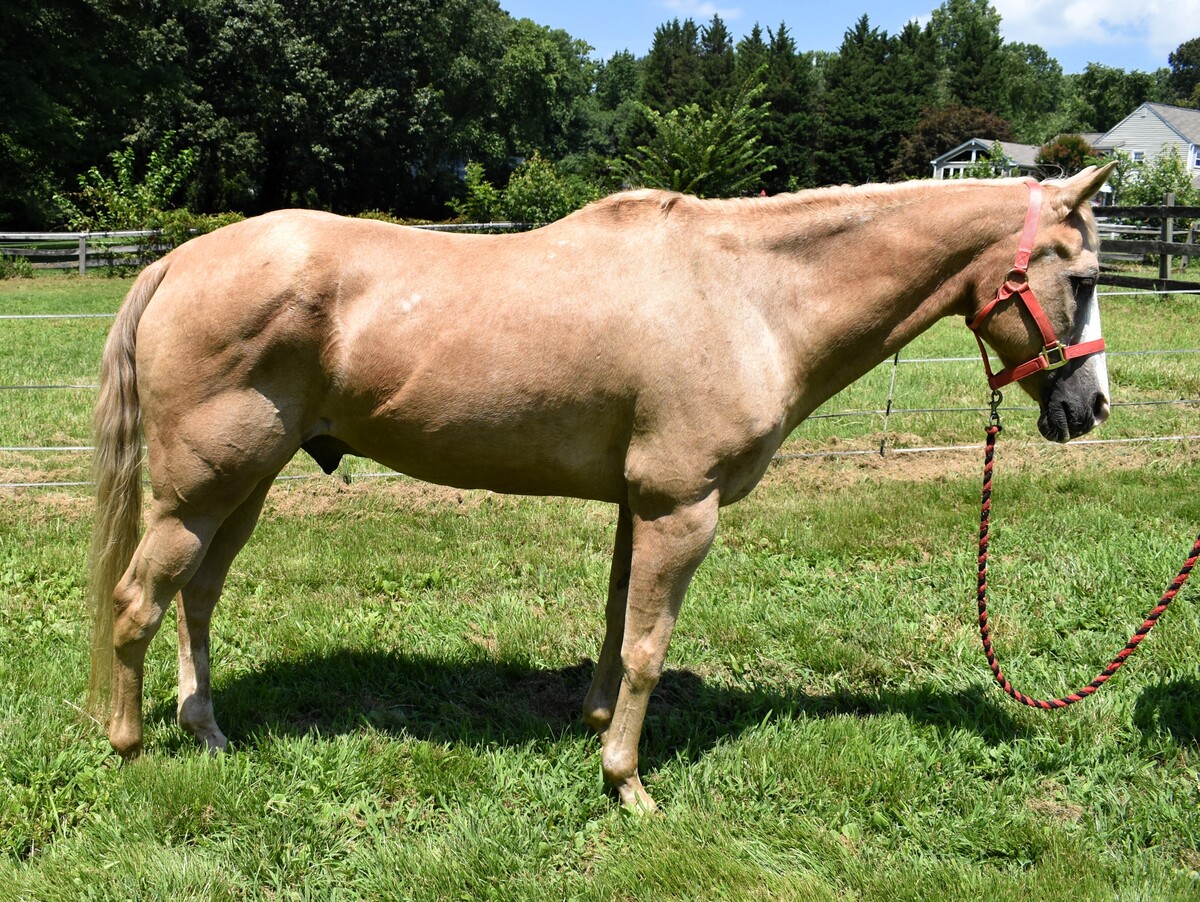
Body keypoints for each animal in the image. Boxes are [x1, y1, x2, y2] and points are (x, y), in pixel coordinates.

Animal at [87, 163, 1116, 812]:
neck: (749, 296)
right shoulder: (681, 508)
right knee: (140, 601)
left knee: (197, 598)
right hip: (201, 491)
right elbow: (650, 649)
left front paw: (592, 726)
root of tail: (176, 260)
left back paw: (208, 733)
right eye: (1085, 278)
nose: (1092, 405)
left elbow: (620, 625)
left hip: (245, 487)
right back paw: (130, 747)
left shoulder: (639, 506)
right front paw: (628, 782)